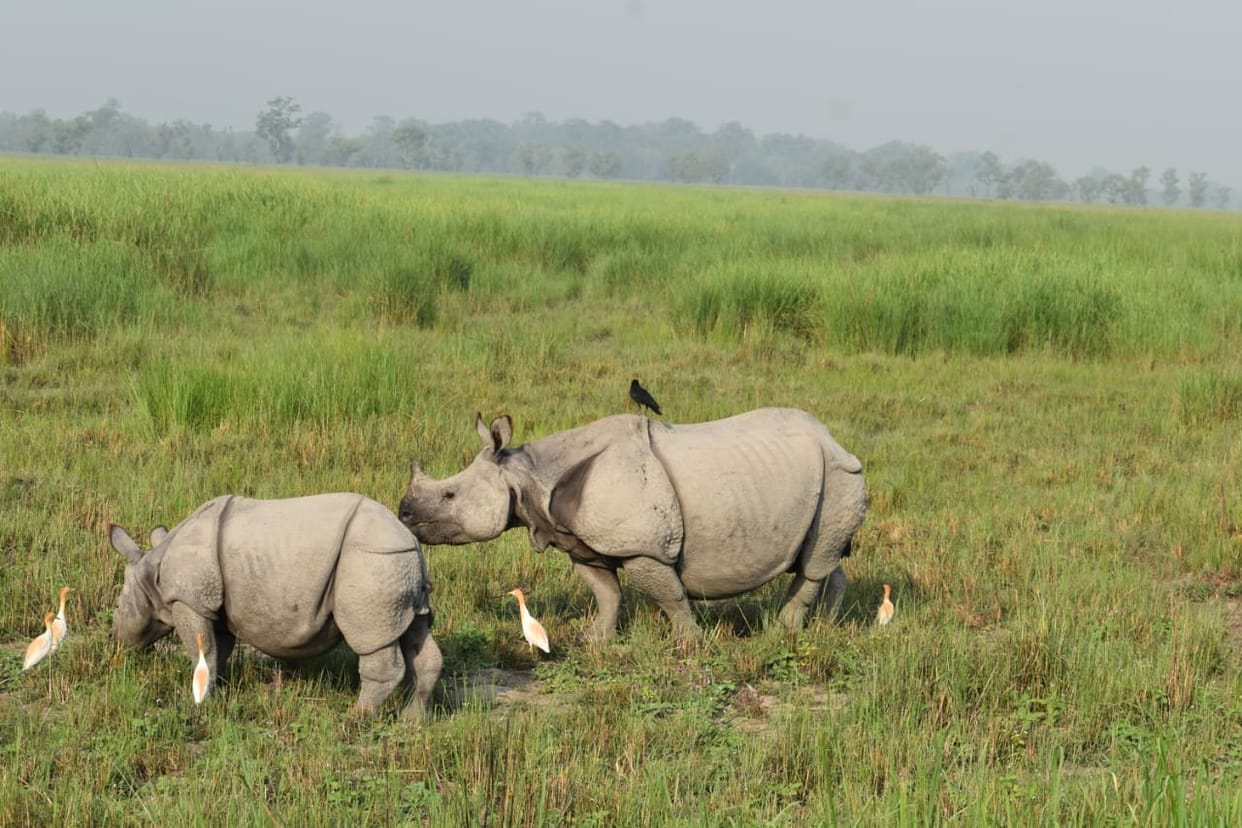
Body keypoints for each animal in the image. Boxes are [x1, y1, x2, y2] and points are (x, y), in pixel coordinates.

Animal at [110, 493, 441, 719]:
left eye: (120, 607)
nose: (118, 639)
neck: (154, 573)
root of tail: (411, 541)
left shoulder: (190, 601)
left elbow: (202, 649)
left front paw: (203, 699)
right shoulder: (216, 602)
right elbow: (219, 649)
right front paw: (220, 687)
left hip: (372, 560)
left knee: (373, 642)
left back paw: (355, 718)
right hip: (396, 564)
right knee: (416, 633)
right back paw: (413, 721)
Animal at [399, 408, 866, 642]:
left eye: (449, 495)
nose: (403, 514)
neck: (528, 473)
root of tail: (834, 438)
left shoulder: (644, 548)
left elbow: (671, 596)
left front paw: (689, 643)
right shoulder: (581, 544)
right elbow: (606, 594)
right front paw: (595, 639)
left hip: (838, 472)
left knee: (815, 561)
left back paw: (784, 631)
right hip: (821, 476)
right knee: (821, 555)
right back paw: (824, 625)